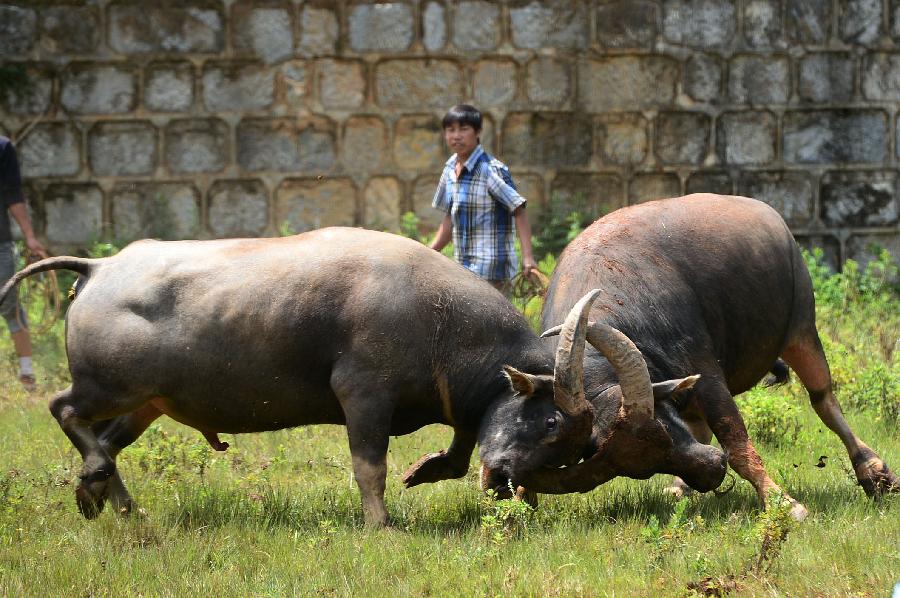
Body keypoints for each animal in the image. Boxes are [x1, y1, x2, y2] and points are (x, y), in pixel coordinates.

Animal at [0, 230, 704, 528]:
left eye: (572, 453)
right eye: (554, 421)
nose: (505, 480)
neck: (437, 320)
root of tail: (99, 268)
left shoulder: (454, 409)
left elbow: (456, 446)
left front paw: (429, 470)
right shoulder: (363, 397)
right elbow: (371, 467)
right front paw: (381, 524)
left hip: (148, 402)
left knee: (106, 442)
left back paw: (109, 501)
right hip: (108, 387)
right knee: (66, 410)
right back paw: (95, 481)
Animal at [478, 193, 892, 520]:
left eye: (662, 426)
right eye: (645, 468)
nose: (712, 470)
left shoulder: (707, 375)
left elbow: (738, 444)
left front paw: (784, 503)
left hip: (802, 328)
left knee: (824, 400)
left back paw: (875, 473)